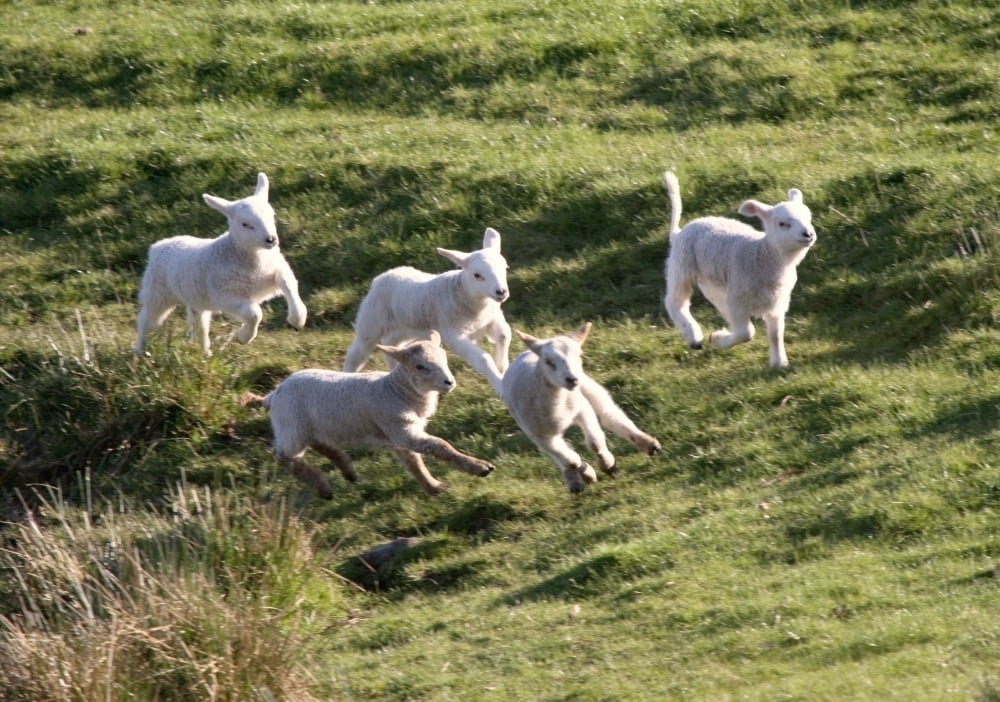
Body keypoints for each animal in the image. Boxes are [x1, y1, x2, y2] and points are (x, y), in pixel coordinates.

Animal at [133, 172, 307, 356]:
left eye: (272, 215)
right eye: (245, 224)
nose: (271, 240)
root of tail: (158, 246)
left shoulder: (275, 269)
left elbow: (289, 284)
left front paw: (298, 319)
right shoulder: (224, 295)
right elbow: (254, 313)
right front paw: (244, 337)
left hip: (196, 298)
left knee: (199, 325)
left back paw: (205, 353)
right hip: (157, 293)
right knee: (146, 321)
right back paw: (139, 352)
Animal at [242, 332, 494, 499]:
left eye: (445, 358)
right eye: (420, 366)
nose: (449, 382)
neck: (395, 389)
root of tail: (273, 394)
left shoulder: (398, 434)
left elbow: (414, 463)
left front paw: (434, 486)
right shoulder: (400, 429)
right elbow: (440, 447)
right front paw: (479, 467)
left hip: (312, 427)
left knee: (323, 446)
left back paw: (348, 472)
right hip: (291, 425)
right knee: (285, 456)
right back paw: (323, 488)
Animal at [342, 227, 511, 396]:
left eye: (505, 268)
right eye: (477, 275)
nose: (501, 292)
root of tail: (382, 276)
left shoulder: (491, 320)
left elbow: (505, 335)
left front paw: (502, 366)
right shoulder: (455, 335)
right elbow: (484, 359)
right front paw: (500, 385)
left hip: (407, 325)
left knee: (392, 342)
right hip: (371, 323)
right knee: (357, 353)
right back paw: (347, 375)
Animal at [501, 322, 661, 493]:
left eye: (580, 356)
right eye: (549, 361)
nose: (572, 379)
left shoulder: (583, 410)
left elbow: (595, 442)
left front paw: (608, 465)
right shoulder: (539, 435)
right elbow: (570, 460)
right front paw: (586, 473)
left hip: (589, 388)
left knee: (609, 415)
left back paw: (648, 444)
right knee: (562, 458)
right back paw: (575, 480)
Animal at [662, 170, 816, 368]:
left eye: (809, 218)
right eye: (782, 224)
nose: (808, 234)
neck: (762, 255)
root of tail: (679, 232)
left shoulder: (778, 302)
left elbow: (776, 334)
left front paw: (779, 363)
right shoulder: (739, 299)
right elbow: (746, 333)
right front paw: (717, 339)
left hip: (713, 279)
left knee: (714, 299)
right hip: (682, 263)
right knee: (675, 301)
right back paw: (694, 336)